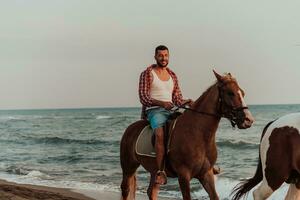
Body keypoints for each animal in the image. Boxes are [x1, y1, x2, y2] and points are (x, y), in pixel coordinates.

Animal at [119, 70, 253, 200]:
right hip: (128, 168)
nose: (248, 120)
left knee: (151, 192)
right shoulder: (184, 175)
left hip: (154, 171)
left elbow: (214, 196)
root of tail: (130, 129)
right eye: (230, 93)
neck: (198, 134)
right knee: (126, 190)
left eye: (243, 93)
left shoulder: (206, 174)